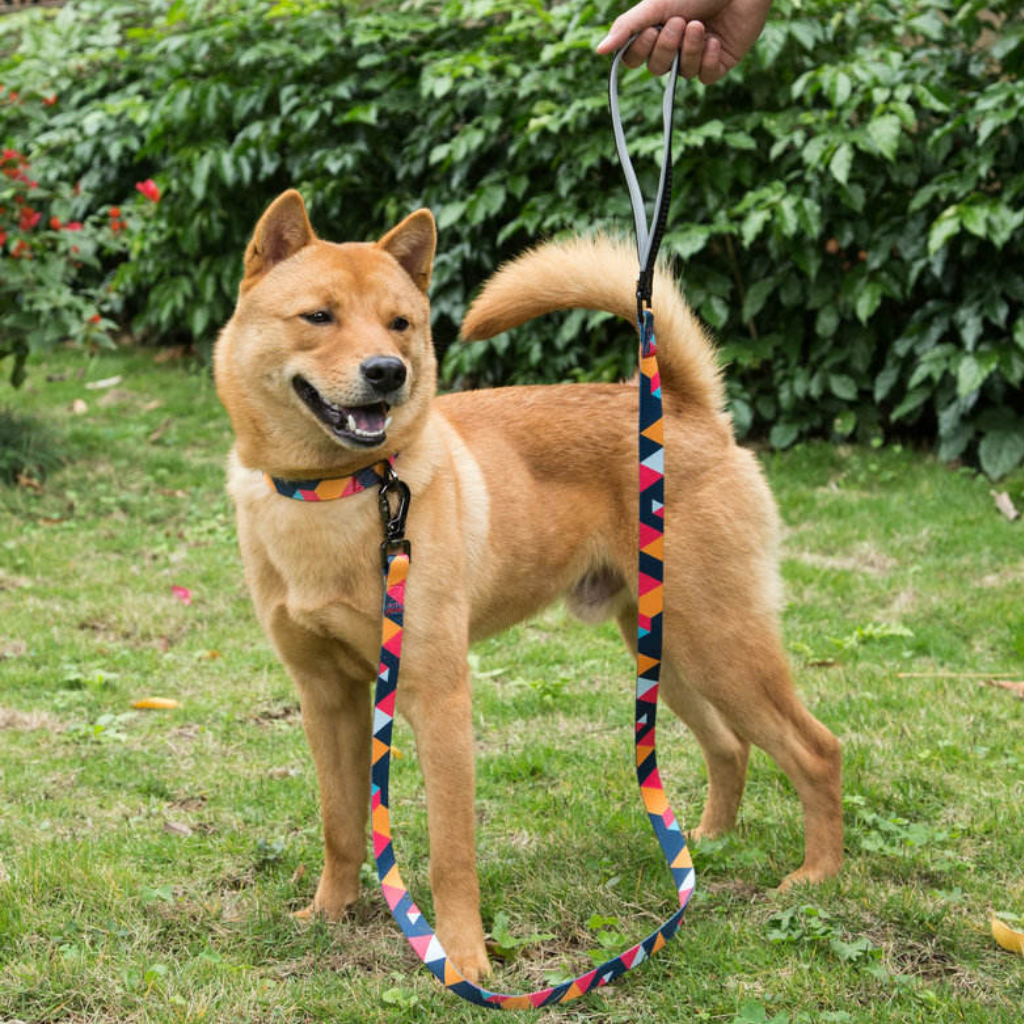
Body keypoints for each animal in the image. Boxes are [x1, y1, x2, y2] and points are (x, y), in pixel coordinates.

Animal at [214, 192, 839, 983]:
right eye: (318, 316)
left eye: (400, 323)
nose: (387, 372)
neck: (340, 492)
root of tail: (685, 408)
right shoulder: (328, 699)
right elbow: (342, 824)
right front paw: (329, 914)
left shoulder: (438, 700)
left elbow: (450, 855)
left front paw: (463, 959)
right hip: (670, 653)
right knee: (729, 747)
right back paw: (705, 845)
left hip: (721, 644)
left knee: (817, 751)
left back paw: (818, 876)